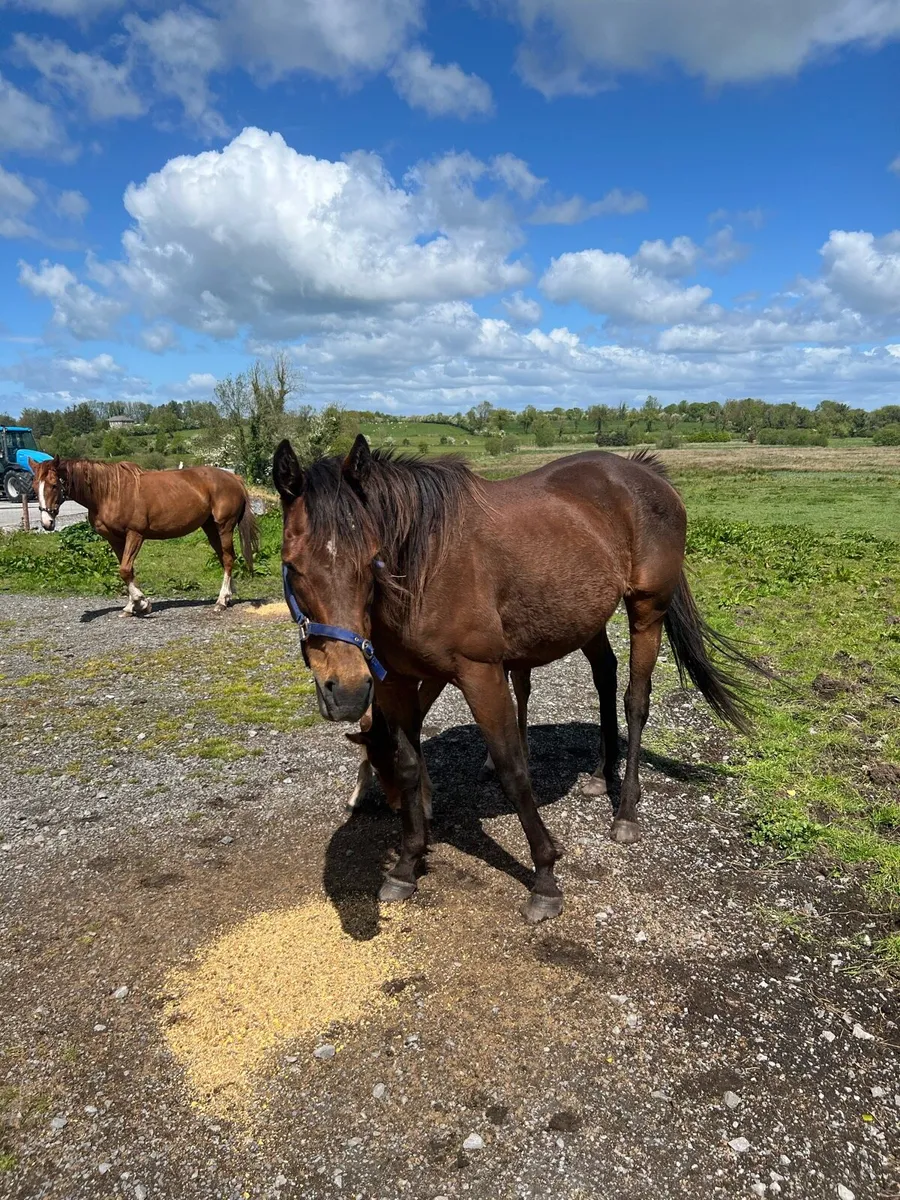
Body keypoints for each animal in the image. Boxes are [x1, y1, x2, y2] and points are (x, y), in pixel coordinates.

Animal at [29, 456, 259, 616]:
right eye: (34, 487)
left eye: (53, 485)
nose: (47, 523)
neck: (109, 493)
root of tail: (234, 477)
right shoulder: (115, 539)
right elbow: (127, 571)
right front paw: (132, 606)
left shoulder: (135, 534)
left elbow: (125, 569)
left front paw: (142, 602)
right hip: (210, 528)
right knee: (225, 558)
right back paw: (228, 596)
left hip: (224, 527)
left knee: (228, 559)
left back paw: (221, 601)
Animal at [276, 435, 760, 924]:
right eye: (292, 566)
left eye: (370, 561)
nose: (346, 692)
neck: (422, 568)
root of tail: (645, 473)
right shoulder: (395, 681)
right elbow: (410, 765)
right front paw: (407, 866)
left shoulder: (480, 674)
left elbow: (513, 768)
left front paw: (545, 878)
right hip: (587, 618)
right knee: (605, 676)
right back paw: (601, 775)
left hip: (647, 612)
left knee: (635, 701)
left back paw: (625, 812)